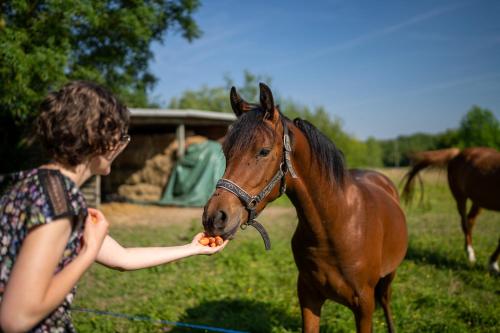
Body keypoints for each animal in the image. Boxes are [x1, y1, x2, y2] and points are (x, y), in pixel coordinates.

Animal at [202, 83, 406, 332]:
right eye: (226, 152)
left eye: (264, 151)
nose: (214, 217)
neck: (333, 227)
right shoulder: (308, 297)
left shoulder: (364, 306)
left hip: (389, 275)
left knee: (386, 300)